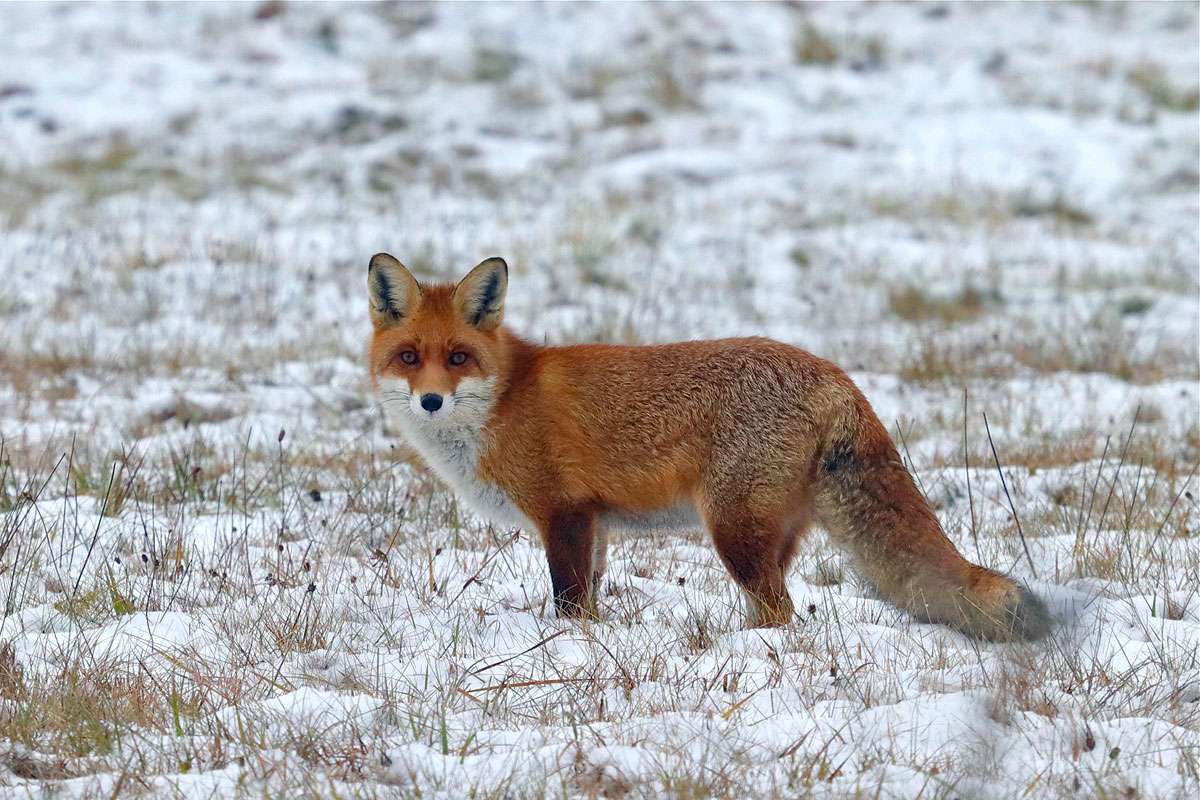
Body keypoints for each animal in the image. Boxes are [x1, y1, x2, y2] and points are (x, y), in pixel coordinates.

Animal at [364, 253, 1051, 642]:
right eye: (410, 358)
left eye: (458, 357)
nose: (431, 401)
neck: (506, 400)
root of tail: (832, 372)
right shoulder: (595, 523)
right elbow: (591, 597)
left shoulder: (564, 515)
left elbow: (570, 605)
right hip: (772, 532)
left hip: (734, 532)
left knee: (781, 613)